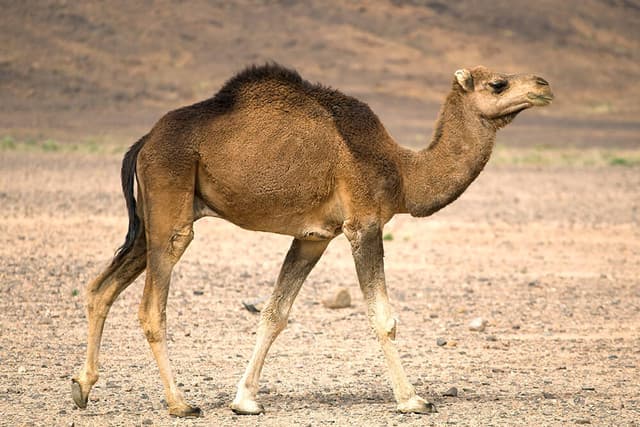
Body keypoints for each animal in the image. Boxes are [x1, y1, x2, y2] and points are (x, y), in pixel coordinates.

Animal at [71, 63, 553, 417]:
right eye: (498, 83)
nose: (544, 85)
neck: (401, 170)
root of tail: (145, 140)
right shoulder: (364, 223)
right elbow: (383, 317)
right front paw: (412, 399)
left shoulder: (313, 237)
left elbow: (275, 314)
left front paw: (245, 400)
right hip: (170, 198)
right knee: (152, 306)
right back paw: (179, 403)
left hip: (153, 217)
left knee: (100, 288)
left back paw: (82, 387)